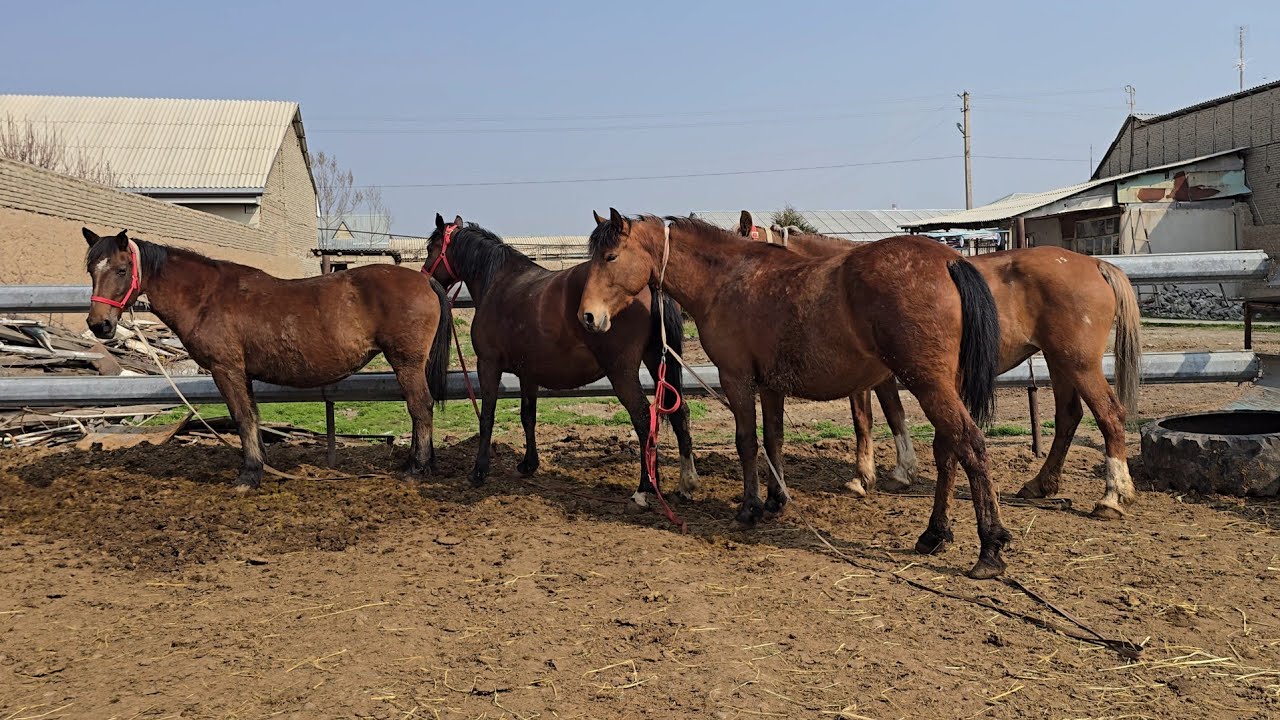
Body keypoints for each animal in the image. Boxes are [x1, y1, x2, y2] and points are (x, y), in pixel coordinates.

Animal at [83, 227, 452, 490]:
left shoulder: (226, 370)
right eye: (91, 270)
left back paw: (416, 469)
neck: (207, 297)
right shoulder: (242, 373)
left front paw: (248, 475)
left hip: (406, 362)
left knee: (420, 408)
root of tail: (424, 280)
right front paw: (259, 466)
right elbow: (252, 416)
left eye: (120, 269)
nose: (99, 324)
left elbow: (242, 417)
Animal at [421, 214, 697, 505]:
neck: (497, 282)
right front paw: (528, 464)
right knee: (679, 410)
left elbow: (487, 416)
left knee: (644, 418)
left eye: (431, 248)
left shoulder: (488, 365)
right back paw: (685, 484)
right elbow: (527, 416)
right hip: (656, 358)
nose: (425, 276)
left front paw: (479, 471)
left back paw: (644, 487)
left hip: (622, 371)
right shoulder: (527, 373)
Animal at [580, 210, 1011, 580]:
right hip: (943, 385)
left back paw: (989, 548)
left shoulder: (737, 379)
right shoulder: (770, 385)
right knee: (948, 452)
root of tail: (949, 261)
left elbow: (747, 442)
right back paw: (934, 535)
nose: (587, 316)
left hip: (927, 383)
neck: (726, 280)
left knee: (971, 446)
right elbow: (774, 440)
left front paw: (749, 509)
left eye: (611, 256)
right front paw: (776, 500)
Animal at [737, 212, 1141, 519]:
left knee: (1109, 415)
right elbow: (890, 416)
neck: (839, 286)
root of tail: (1096, 264)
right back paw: (1040, 484)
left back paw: (1112, 496)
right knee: (1069, 417)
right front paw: (897, 472)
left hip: (1079, 363)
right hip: (1059, 363)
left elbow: (870, 419)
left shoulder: (872, 378)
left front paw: (868, 477)